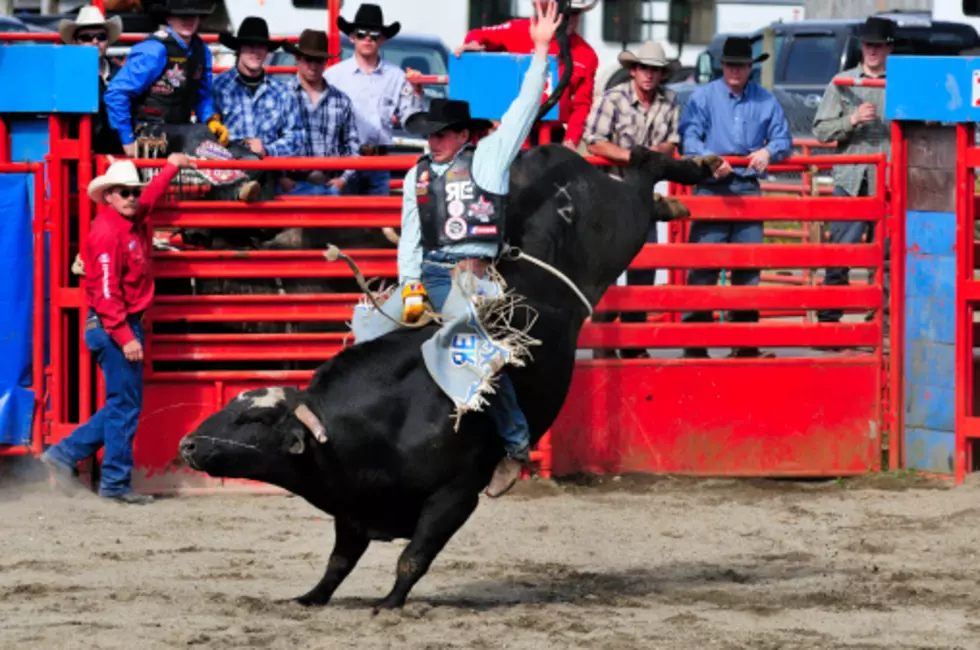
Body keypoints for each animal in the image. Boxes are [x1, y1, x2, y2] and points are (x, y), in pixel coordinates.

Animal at [176, 146, 724, 608]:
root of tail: (552, 157)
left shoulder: (454, 497)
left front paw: (389, 604)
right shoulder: (351, 508)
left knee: (642, 172)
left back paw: (686, 175)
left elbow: (411, 557)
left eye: (253, 421)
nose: (187, 444)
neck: (375, 422)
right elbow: (338, 563)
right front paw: (309, 598)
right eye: (232, 406)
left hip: (617, 225)